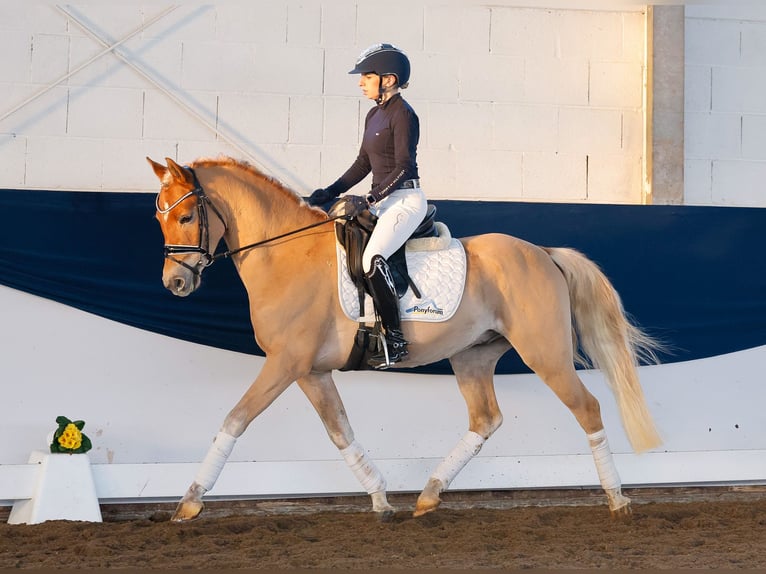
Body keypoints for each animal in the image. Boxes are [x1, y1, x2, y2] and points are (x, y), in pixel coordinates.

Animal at [147, 155, 664, 524]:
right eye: (160, 220)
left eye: (188, 216)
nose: (175, 283)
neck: (286, 253)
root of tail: (543, 252)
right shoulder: (311, 371)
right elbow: (340, 432)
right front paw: (379, 498)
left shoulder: (284, 363)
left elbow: (234, 420)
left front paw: (189, 502)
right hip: (473, 356)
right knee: (485, 419)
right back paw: (429, 495)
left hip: (545, 354)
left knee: (587, 409)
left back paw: (618, 501)